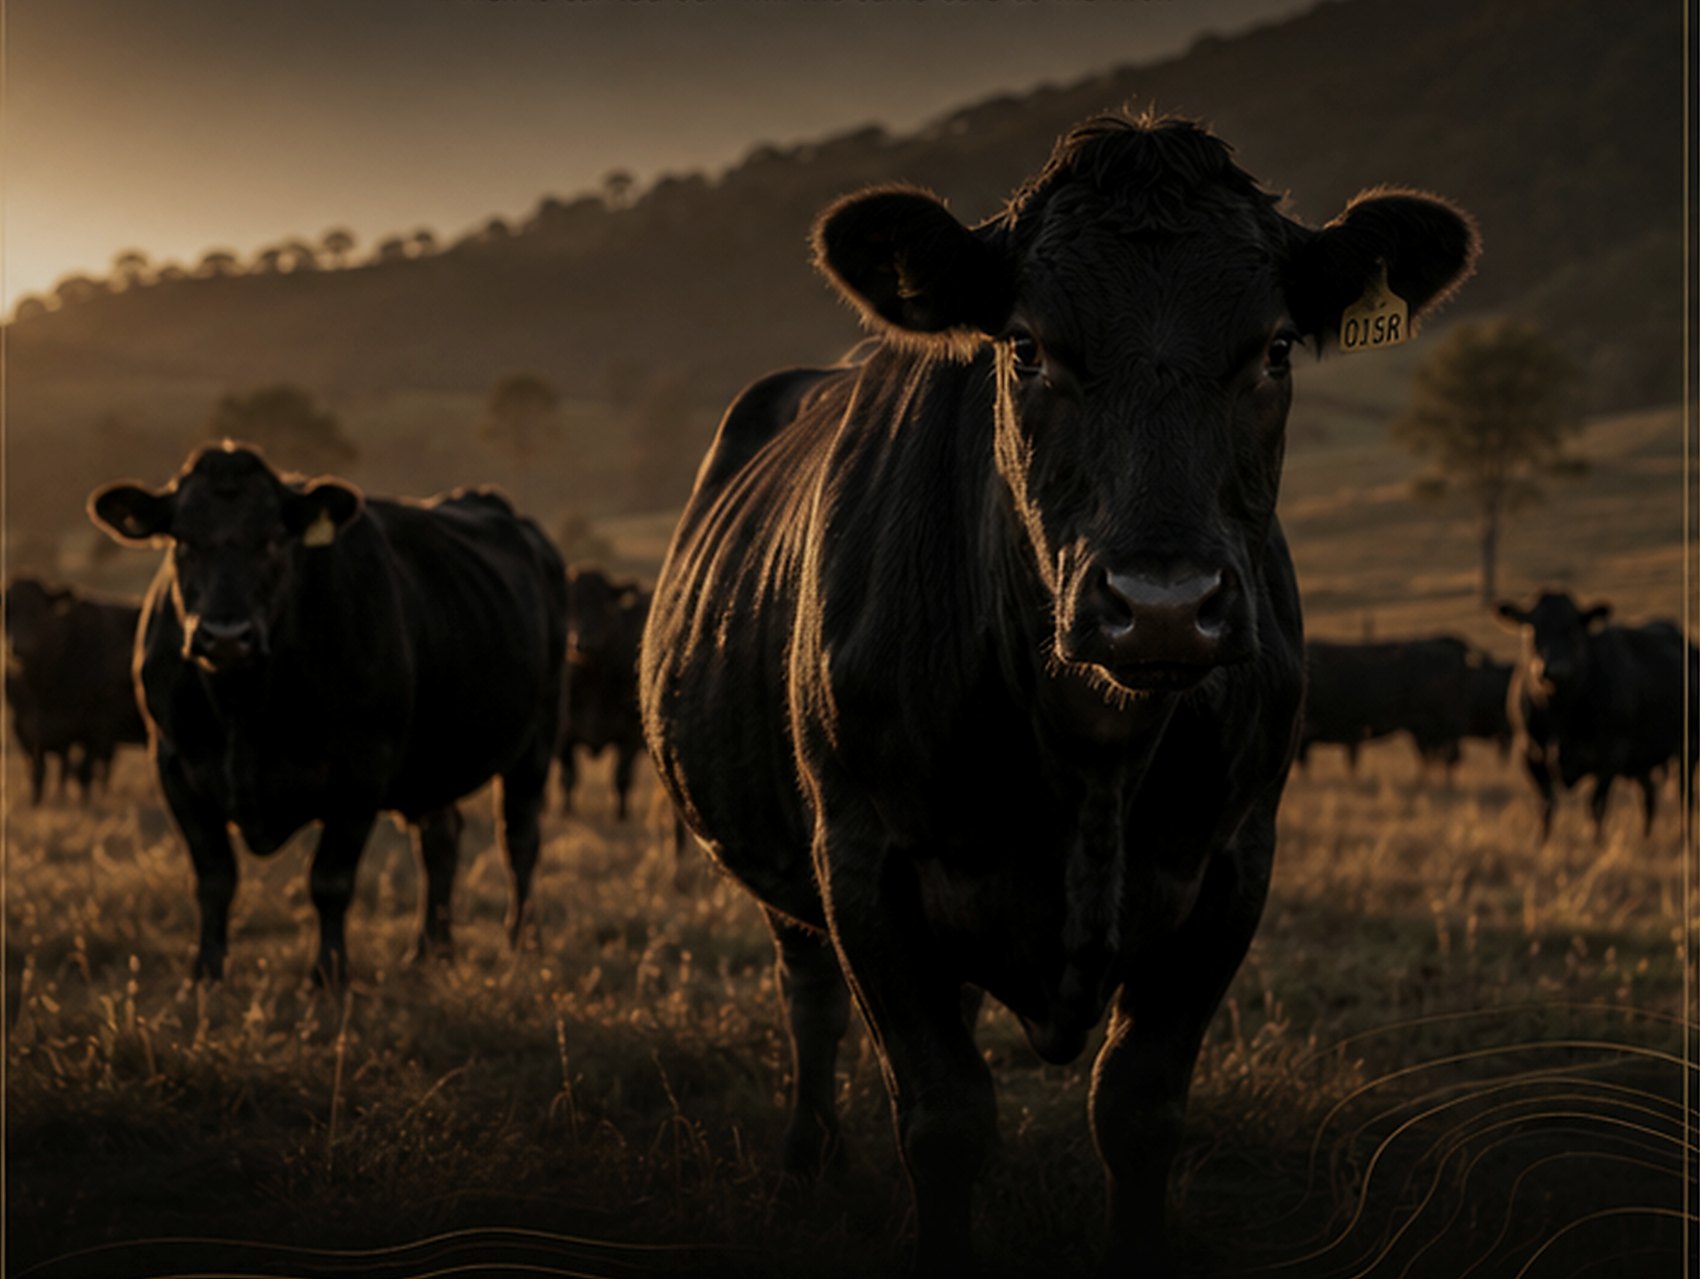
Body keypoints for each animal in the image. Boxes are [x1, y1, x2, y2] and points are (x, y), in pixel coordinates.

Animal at [4, 576, 147, 804]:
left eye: (36, 612)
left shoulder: (96, 726)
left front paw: (85, 806)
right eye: (6, 613)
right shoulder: (26, 729)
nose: (17, 647)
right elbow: (38, 774)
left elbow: (83, 773)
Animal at [87, 443, 567, 985]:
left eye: (275, 539)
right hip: (435, 758)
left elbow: (330, 880)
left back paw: (522, 941)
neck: (244, 710)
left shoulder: (362, 770)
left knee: (519, 840)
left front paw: (329, 974)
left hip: (536, 743)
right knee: (441, 839)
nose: (226, 635)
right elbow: (214, 879)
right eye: (182, 540)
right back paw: (431, 949)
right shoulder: (176, 766)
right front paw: (206, 972)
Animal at [558, 567, 649, 820]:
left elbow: (621, 778)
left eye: (603, 605)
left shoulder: (631, 735)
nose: (582, 642)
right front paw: (567, 813)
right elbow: (568, 778)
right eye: (569, 604)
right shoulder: (563, 735)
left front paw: (621, 817)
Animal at [639, 112, 1477, 1271]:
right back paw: (809, 1165)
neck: (1090, 751)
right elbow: (944, 1119)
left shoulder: (1232, 861)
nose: (1162, 603)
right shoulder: (863, 863)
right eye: (1027, 347)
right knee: (809, 998)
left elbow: (1136, 1110)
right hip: (788, 868)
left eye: (1271, 348)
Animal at [1495, 591, 1697, 842]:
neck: (1561, 715)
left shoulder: (1613, 754)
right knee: (1647, 794)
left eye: (1573, 629)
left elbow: (1596, 804)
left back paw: (1684, 837)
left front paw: (1596, 842)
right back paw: (1645, 837)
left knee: (1685, 795)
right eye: (1531, 629)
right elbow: (1546, 804)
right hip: (1640, 761)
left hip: (1687, 751)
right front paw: (1540, 842)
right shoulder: (1530, 752)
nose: (1552, 669)